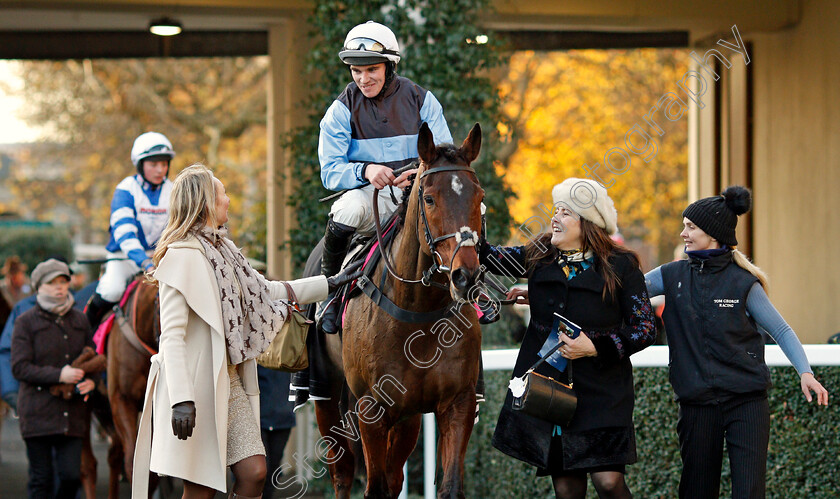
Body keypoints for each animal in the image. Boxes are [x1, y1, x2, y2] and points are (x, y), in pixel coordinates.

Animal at [314, 122, 486, 499]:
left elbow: (449, 485)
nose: (465, 276)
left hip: (407, 417)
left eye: (479, 198)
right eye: (429, 198)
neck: (419, 312)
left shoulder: (458, 402)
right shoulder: (370, 408)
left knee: (393, 478)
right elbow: (374, 486)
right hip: (326, 392)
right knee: (342, 474)